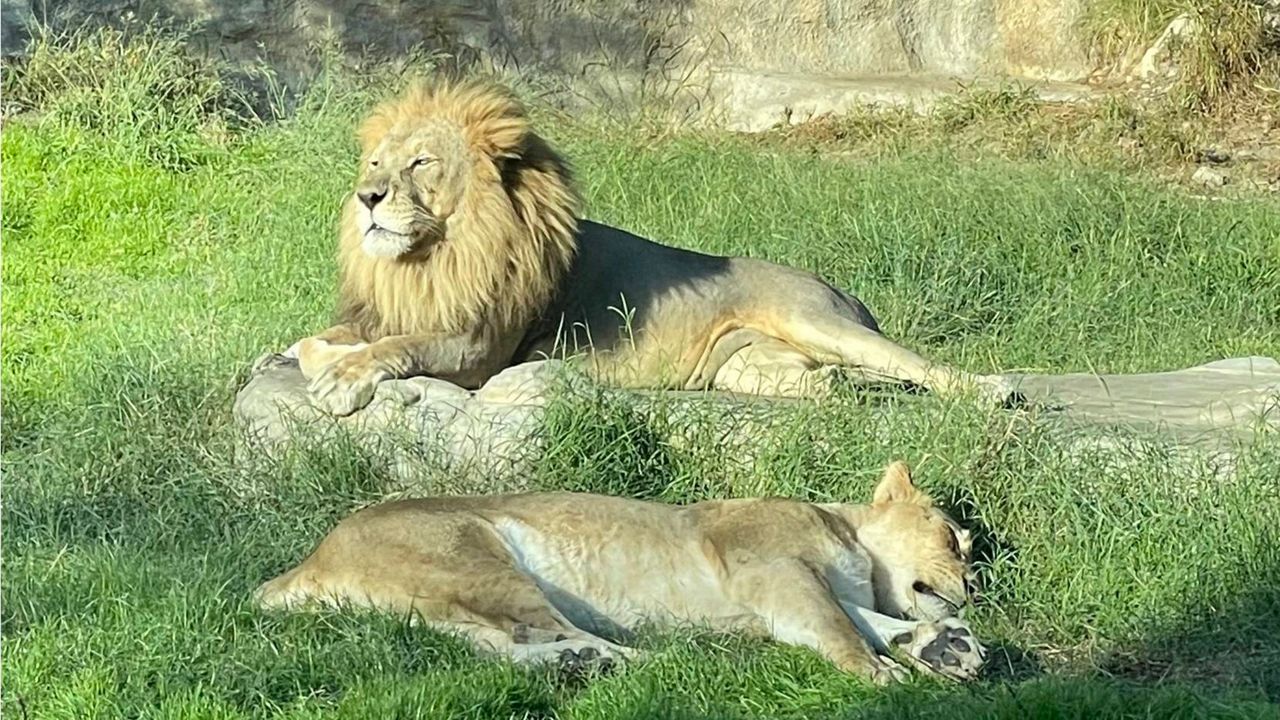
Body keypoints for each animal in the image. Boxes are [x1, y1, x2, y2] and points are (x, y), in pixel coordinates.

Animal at [254, 460, 986, 683]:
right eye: (954, 538)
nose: (973, 586)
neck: (851, 540)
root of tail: (309, 559)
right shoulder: (774, 569)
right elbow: (840, 625)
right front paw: (887, 674)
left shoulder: (796, 587)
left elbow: (872, 618)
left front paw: (942, 646)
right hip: (478, 555)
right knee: (542, 632)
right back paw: (640, 659)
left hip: (435, 604)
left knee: (495, 645)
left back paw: (581, 664)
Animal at [296, 79, 1015, 416]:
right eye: (375, 162)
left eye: (420, 163)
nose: (367, 197)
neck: (430, 257)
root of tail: (841, 290)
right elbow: (310, 342)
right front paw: (326, 357)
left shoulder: (479, 348)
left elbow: (398, 346)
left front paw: (343, 378)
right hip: (748, 368)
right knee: (840, 384)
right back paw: (832, 385)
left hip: (814, 319)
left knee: (922, 367)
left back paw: (994, 392)